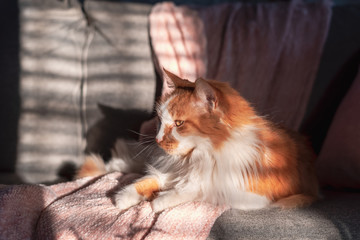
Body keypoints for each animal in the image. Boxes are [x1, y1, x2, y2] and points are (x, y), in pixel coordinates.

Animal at [78, 69, 318, 212]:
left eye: (178, 124)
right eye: (160, 121)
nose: (157, 139)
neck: (198, 157)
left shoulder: (250, 196)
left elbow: (196, 189)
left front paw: (159, 201)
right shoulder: (168, 169)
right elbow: (144, 181)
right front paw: (124, 197)